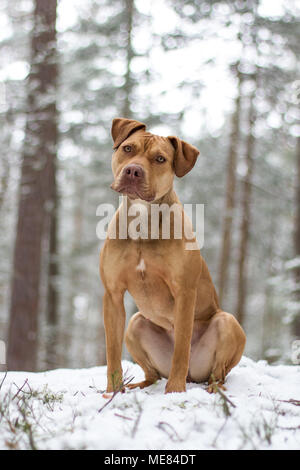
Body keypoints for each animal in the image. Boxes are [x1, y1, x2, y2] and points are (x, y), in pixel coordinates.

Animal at [99, 117, 245, 392]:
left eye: (160, 159)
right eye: (127, 149)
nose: (133, 171)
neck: (142, 220)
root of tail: (195, 378)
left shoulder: (185, 292)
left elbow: (181, 349)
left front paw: (175, 392)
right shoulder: (112, 295)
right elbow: (112, 351)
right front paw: (112, 392)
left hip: (227, 323)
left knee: (218, 372)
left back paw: (213, 389)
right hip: (135, 324)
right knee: (152, 373)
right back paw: (139, 385)